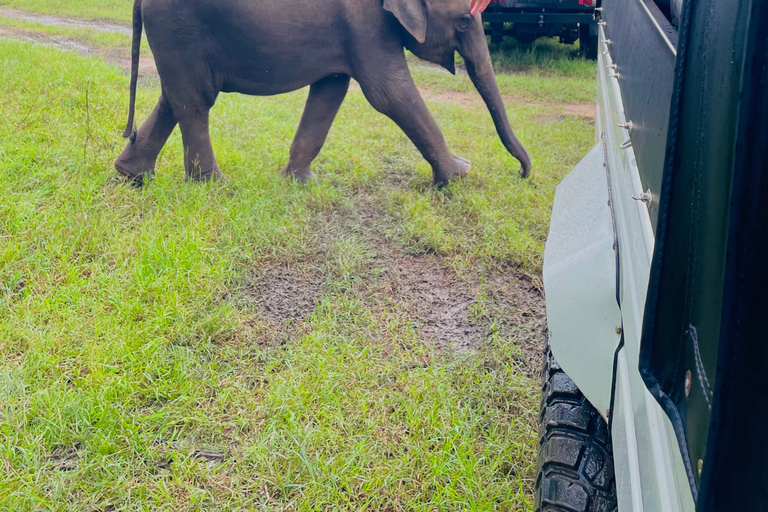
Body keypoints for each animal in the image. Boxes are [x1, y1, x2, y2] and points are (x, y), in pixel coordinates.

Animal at [115, 0, 531, 186]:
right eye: (464, 20)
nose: (522, 174)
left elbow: (331, 90)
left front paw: (301, 183)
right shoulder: (367, 25)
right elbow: (389, 94)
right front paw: (460, 174)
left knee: (177, 97)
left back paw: (131, 175)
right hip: (180, 27)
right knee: (196, 100)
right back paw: (214, 185)